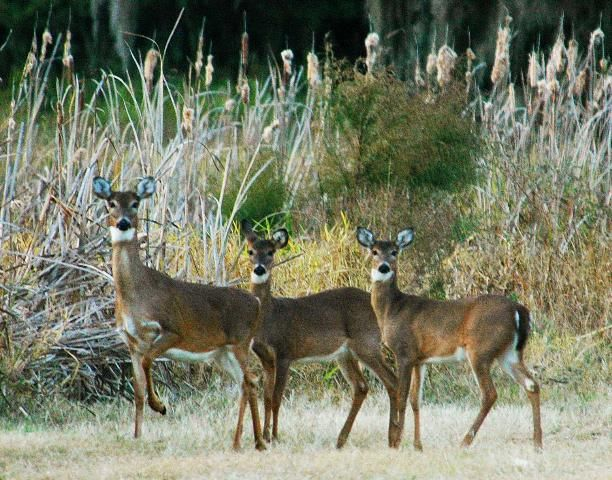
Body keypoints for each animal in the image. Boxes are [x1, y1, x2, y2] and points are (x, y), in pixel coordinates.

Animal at [92, 176, 264, 450]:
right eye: (111, 203)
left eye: (135, 202)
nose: (123, 222)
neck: (136, 296)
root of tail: (256, 302)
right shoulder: (131, 342)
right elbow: (137, 391)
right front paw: (137, 435)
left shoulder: (172, 330)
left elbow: (148, 362)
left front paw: (160, 406)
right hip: (222, 353)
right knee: (248, 382)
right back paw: (256, 440)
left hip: (240, 342)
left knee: (250, 380)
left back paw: (251, 441)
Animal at [241, 221, 404, 450]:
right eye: (251, 251)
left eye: (271, 252)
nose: (259, 269)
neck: (270, 316)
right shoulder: (266, 358)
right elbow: (267, 398)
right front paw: (264, 437)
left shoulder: (285, 352)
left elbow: (277, 398)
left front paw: (274, 437)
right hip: (345, 354)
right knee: (362, 386)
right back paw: (342, 440)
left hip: (366, 343)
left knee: (392, 381)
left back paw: (393, 438)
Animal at [356, 225, 544, 450]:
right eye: (374, 251)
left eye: (395, 252)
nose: (383, 268)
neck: (391, 310)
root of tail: (519, 310)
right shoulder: (420, 359)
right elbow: (415, 400)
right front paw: (418, 445)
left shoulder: (404, 352)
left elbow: (401, 397)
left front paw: (397, 442)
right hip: (509, 353)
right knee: (532, 384)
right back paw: (537, 443)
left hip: (480, 350)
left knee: (490, 393)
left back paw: (465, 441)